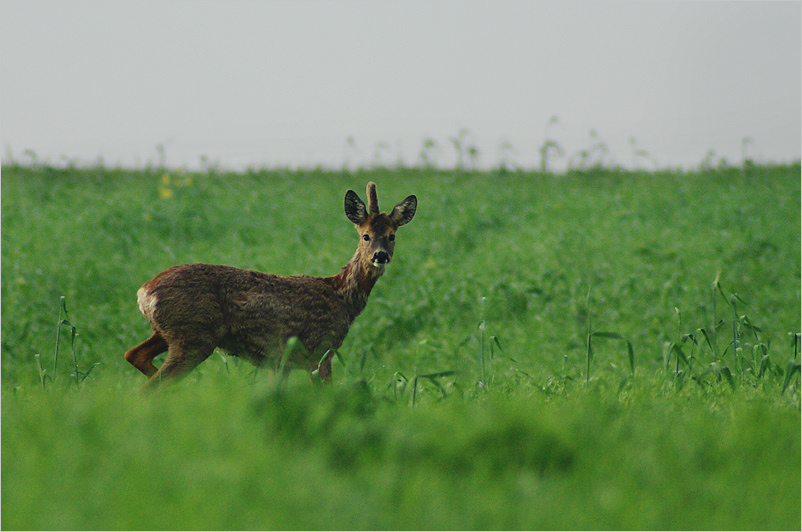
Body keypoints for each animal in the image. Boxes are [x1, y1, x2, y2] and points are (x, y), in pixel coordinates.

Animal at [123, 183, 418, 390]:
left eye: (392, 236)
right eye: (365, 236)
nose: (380, 255)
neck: (342, 297)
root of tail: (143, 293)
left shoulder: (280, 361)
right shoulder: (321, 349)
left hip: (171, 333)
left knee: (133, 355)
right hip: (193, 336)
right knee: (148, 388)